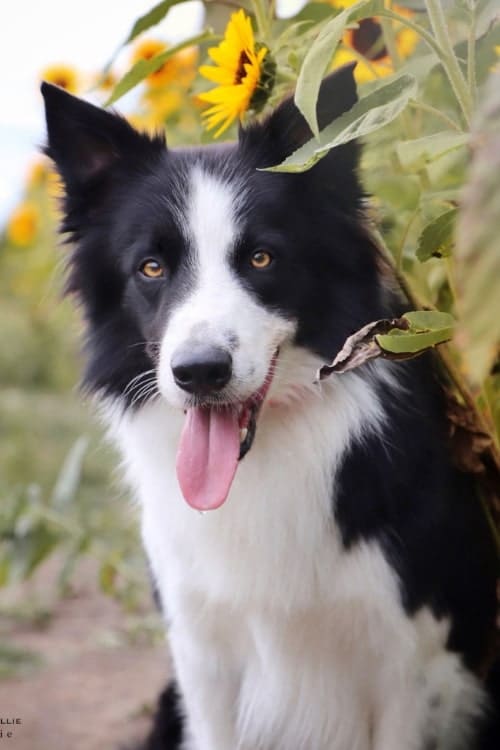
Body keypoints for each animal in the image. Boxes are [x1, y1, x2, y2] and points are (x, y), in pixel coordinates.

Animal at [42, 66, 496, 750]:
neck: (260, 469)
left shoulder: (411, 661)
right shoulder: (203, 662)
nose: (200, 373)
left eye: (261, 257)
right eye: (150, 267)